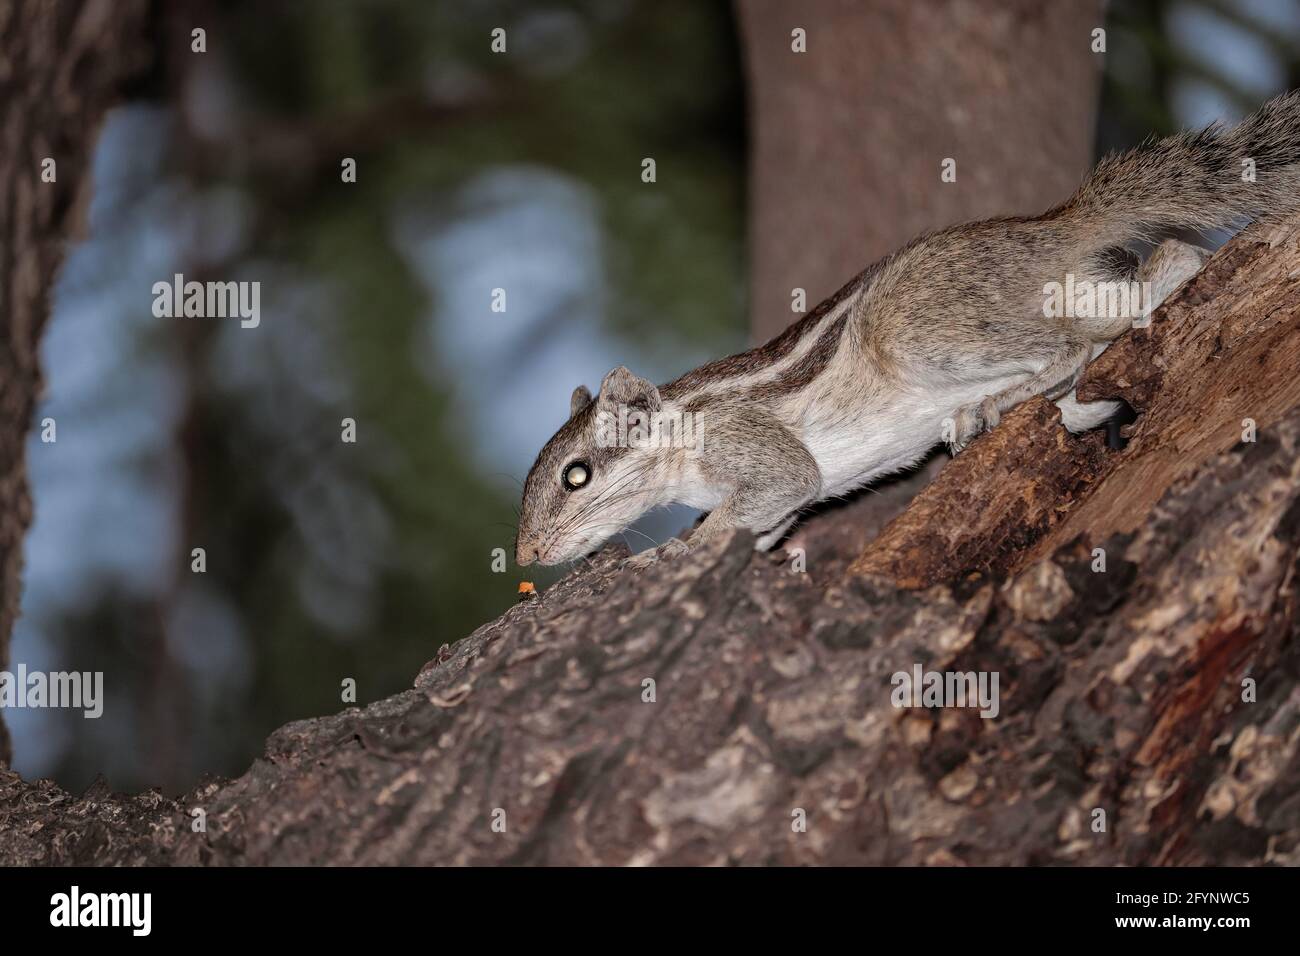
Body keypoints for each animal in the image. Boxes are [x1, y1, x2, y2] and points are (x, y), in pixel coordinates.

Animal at [512, 89, 1300, 567]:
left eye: (577, 475)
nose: (524, 558)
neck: (682, 429)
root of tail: (1054, 227)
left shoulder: (750, 443)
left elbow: (773, 490)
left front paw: (673, 550)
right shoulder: (774, 508)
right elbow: (768, 525)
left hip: (921, 331)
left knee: (1066, 346)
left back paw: (998, 399)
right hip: (1081, 308)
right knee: (1161, 270)